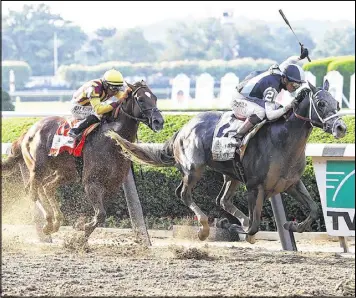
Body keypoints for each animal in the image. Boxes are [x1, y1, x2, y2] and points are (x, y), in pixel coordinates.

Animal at [2, 81, 164, 240]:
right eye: (140, 99)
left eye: (155, 98)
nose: (159, 121)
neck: (109, 139)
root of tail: (29, 131)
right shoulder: (91, 182)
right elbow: (101, 215)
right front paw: (81, 229)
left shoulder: (112, 185)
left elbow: (100, 215)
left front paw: (80, 235)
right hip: (38, 167)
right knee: (32, 191)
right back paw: (48, 222)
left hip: (65, 172)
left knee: (47, 187)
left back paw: (55, 222)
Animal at [109, 81, 348, 242]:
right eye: (320, 103)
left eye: (337, 103)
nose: (341, 128)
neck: (283, 140)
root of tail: (182, 129)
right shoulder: (255, 187)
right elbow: (254, 226)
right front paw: (228, 225)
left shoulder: (291, 184)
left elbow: (314, 208)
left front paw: (292, 225)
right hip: (193, 169)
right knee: (184, 194)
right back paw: (204, 228)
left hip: (232, 176)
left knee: (222, 200)